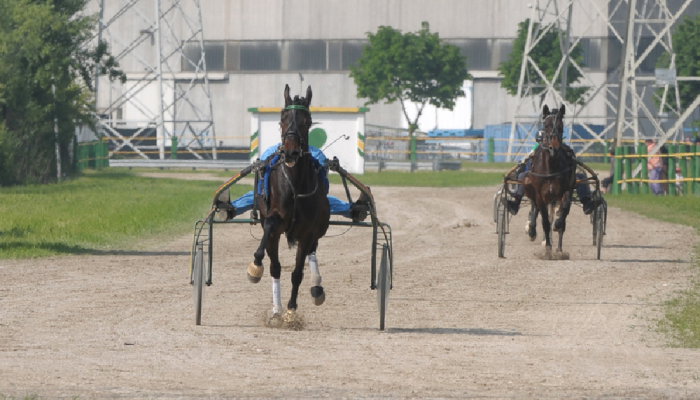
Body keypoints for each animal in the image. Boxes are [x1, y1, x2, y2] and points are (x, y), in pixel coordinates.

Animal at [246, 83, 330, 316]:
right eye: (282, 118)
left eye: (307, 121)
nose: (291, 151)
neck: (294, 184)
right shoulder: (273, 220)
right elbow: (273, 264)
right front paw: (255, 265)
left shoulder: (307, 231)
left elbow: (298, 272)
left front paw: (291, 311)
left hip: (319, 227)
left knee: (312, 252)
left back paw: (316, 286)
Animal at [524, 104, 576, 258]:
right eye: (546, 125)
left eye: (560, 125)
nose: (554, 147)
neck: (551, 165)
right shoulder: (540, 195)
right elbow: (545, 221)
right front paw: (547, 248)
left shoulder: (566, 190)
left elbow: (562, 213)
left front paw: (558, 224)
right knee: (535, 209)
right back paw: (532, 231)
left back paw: (558, 248)